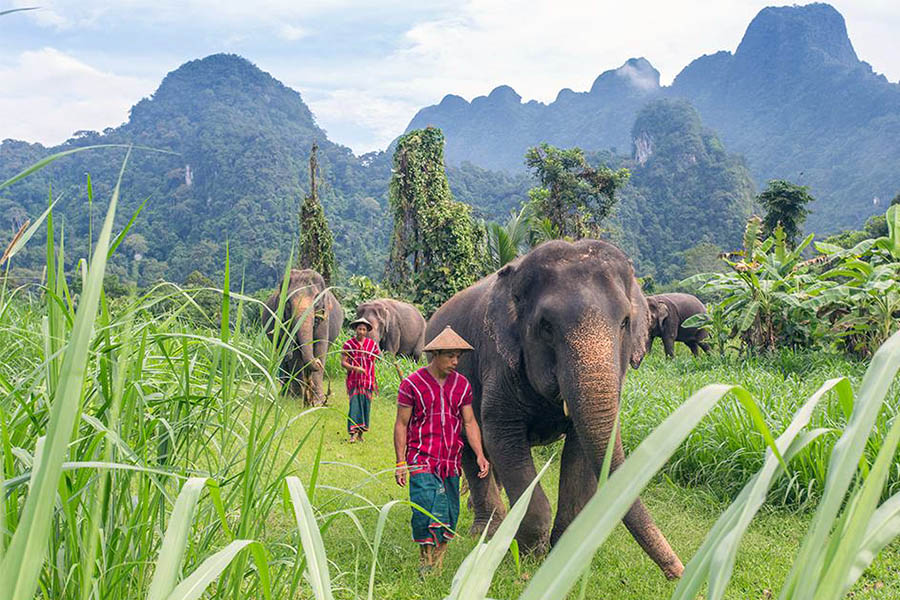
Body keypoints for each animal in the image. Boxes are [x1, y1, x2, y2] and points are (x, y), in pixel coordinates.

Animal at [264, 268, 344, 406]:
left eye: (316, 302)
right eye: (288, 303)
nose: (316, 362)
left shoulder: (324, 319)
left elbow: (320, 347)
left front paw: (317, 402)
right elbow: (295, 354)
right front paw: (297, 399)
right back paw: (286, 395)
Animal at [428, 239, 684, 580]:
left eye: (625, 323)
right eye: (546, 326)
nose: (677, 571)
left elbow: (581, 451)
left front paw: (562, 555)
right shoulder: (499, 363)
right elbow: (502, 437)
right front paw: (528, 555)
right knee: (471, 447)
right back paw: (486, 531)